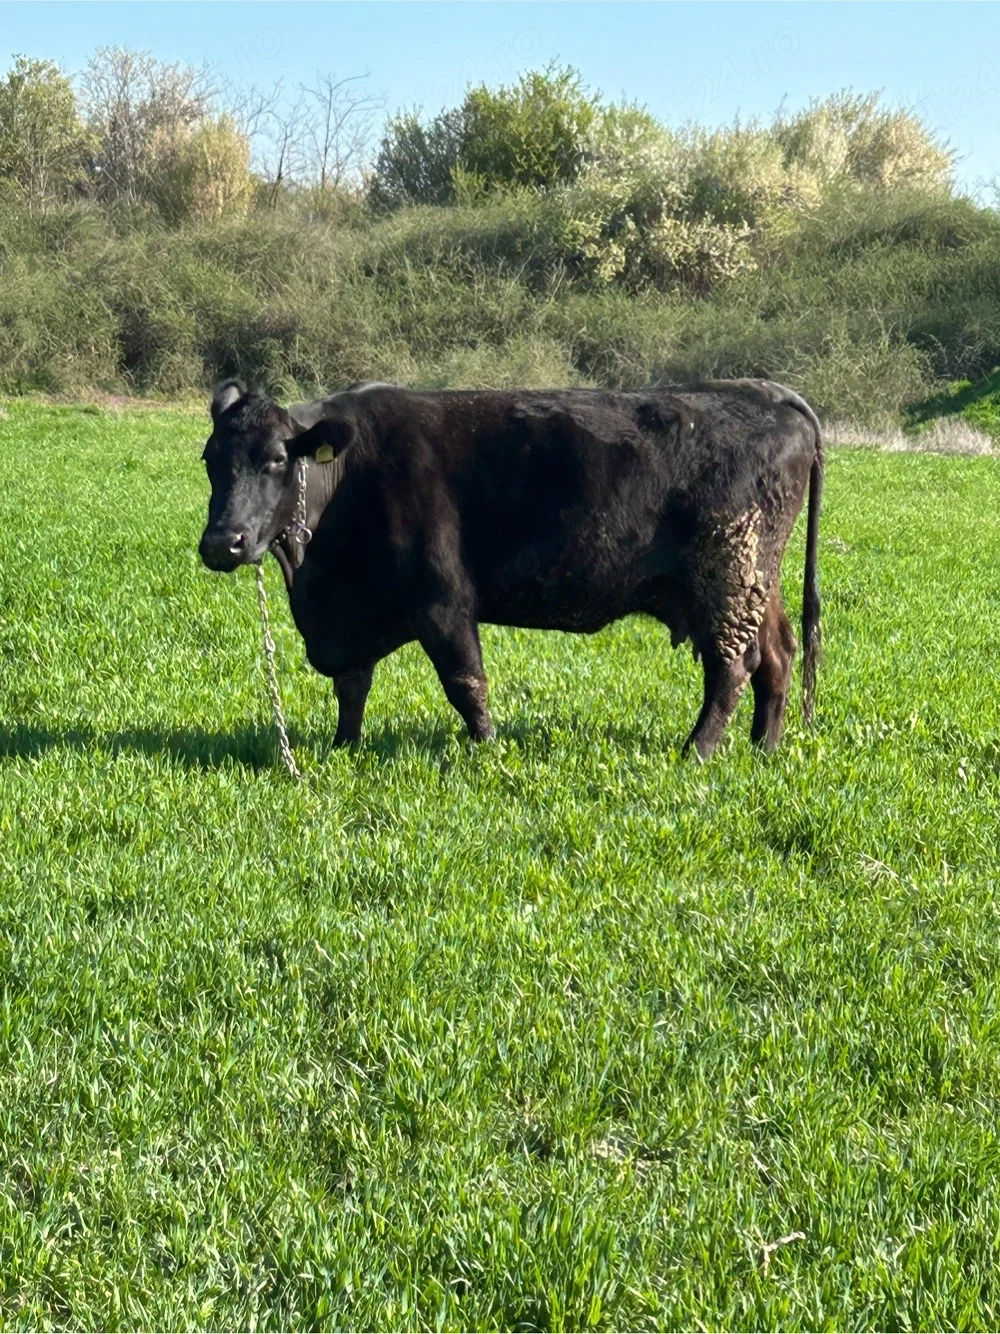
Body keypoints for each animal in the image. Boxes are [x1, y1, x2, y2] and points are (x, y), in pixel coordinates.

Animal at [199, 378, 822, 759]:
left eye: (276, 459)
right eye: (209, 459)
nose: (223, 543)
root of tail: (764, 390)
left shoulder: (443, 601)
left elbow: (465, 682)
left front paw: (488, 750)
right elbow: (352, 686)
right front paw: (343, 749)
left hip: (727, 577)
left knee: (731, 668)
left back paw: (697, 751)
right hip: (756, 581)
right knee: (777, 656)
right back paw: (764, 748)